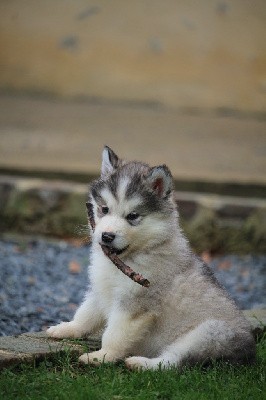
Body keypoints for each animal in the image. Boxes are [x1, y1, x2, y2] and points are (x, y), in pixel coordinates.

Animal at [47, 145, 256, 370]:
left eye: (132, 216)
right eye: (104, 209)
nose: (107, 236)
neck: (129, 258)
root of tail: (249, 354)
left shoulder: (134, 305)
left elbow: (114, 335)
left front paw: (102, 356)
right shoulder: (101, 289)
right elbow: (86, 313)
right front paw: (67, 328)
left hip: (208, 333)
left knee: (172, 362)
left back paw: (140, 363)